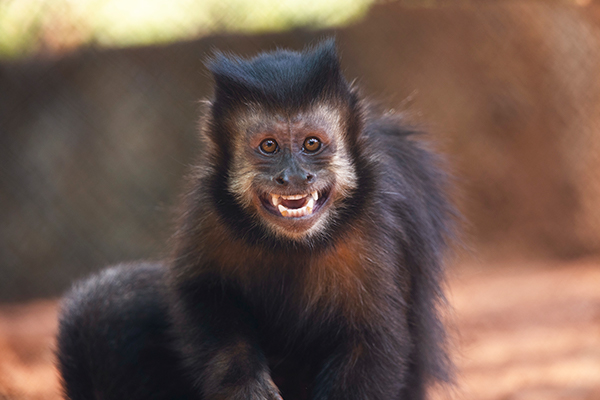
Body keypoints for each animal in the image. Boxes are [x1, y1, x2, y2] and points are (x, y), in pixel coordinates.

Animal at [57, 40, 454, 400]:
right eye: (269, 146)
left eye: (311, 144)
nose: (293, 176)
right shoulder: (209, 213)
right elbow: (203, 294)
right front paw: (244, 384)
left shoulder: (375, 225)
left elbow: (371, 341)